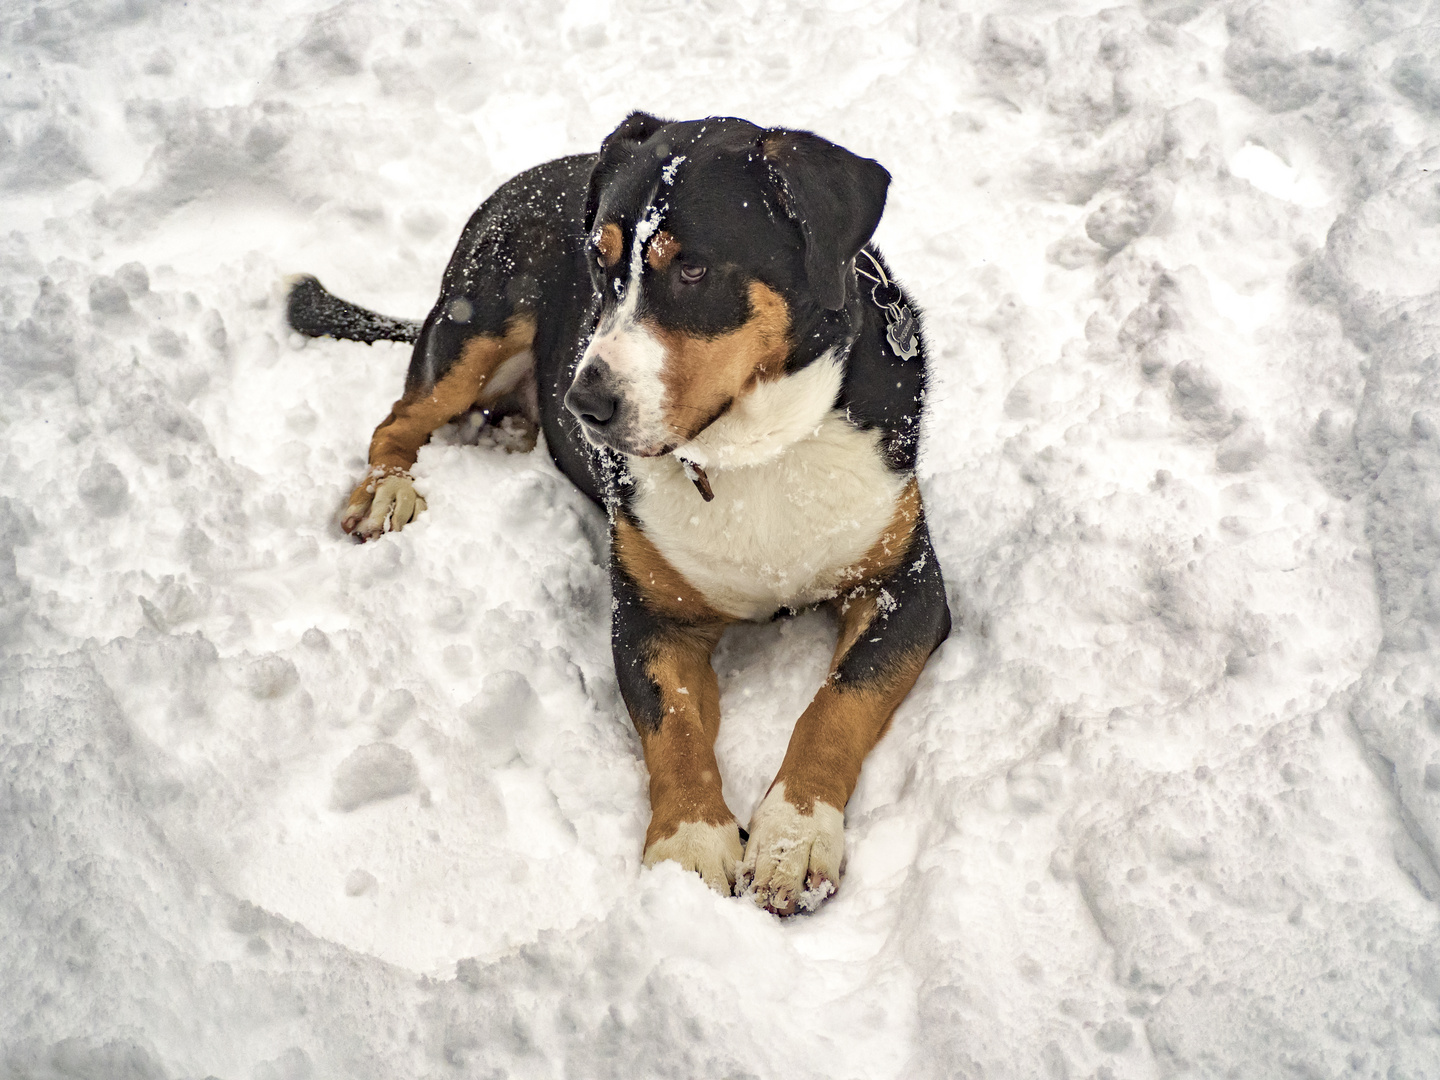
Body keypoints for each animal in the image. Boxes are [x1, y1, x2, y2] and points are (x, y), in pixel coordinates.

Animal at [286, 114, 950, 915]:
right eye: (600, 267)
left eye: (692, 271)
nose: (585, 402)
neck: (751, 457)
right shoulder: (648, 616)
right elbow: (675, 728)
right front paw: (691, 844)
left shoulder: (905, 586)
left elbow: (837, 705)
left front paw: (792, 838)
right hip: (479, 319)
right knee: (399, 418)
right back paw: (388, 489)